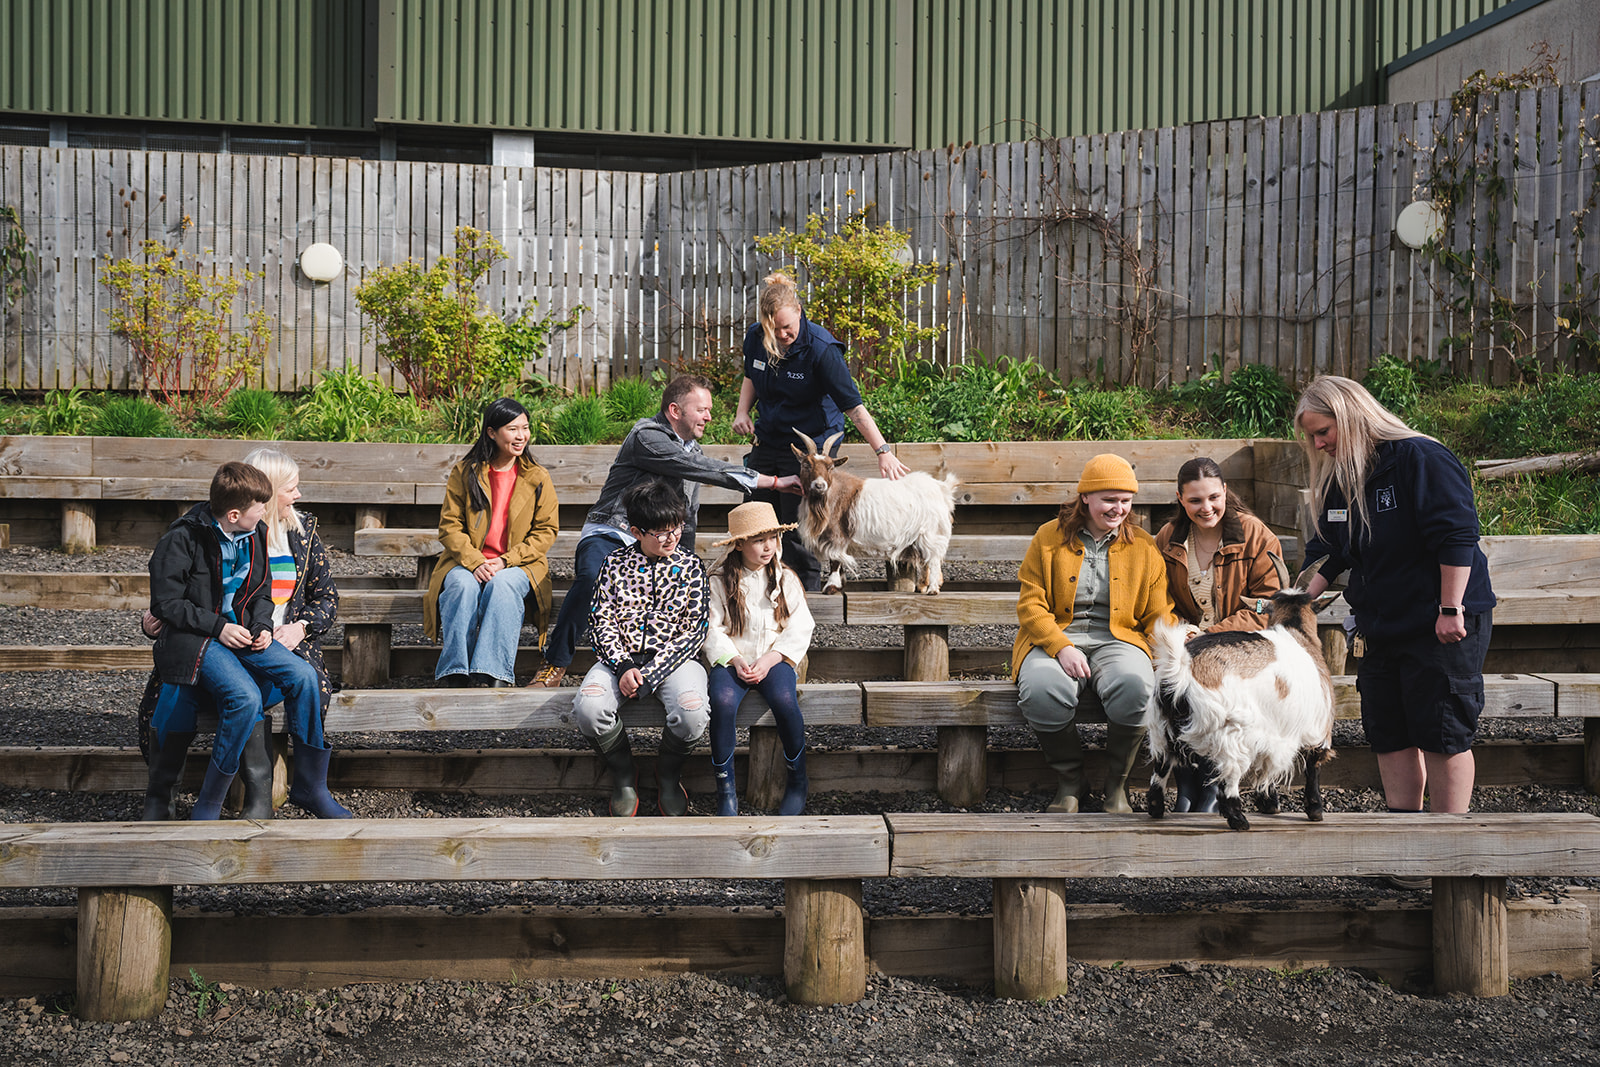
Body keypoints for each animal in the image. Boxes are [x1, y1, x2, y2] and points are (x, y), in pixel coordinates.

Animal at [784, 435, 947, 601]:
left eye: (830, 467)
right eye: (806, 465)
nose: (819, 485)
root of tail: (940, 488)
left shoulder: (837, 534)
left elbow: (835, 559)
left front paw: (830, 587)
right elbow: (838, 559)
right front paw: (839, 585)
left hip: (930, 532)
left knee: (933, 558)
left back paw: (933, 589)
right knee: (926, 559)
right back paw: (922, 587)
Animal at [1145, 563, 1344, 831]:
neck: (1298, 635)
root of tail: (1180, 669)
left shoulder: (1273, 734)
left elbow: (1265, 769)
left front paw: (1269, 803)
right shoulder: (1318, 729)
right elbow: (1313, 766)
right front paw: (1315, 810)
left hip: (1160, 729)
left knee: (1160, 770)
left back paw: (1157, 810)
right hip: (1232, 734)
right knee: (1228, 780)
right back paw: (1238, 820)